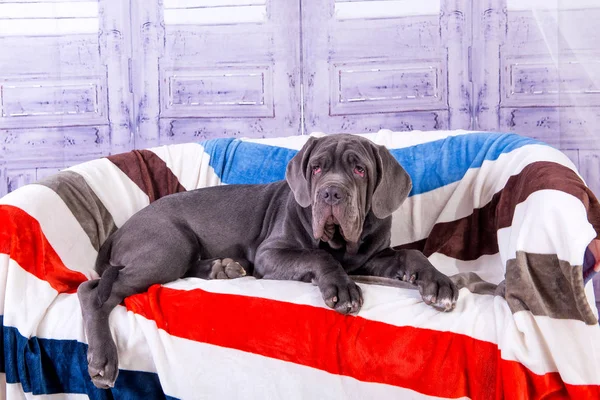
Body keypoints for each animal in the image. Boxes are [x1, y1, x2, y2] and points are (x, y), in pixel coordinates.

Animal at [77, 134, 458, 388]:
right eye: (316, 168)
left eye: (360, 170)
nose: (331, 192)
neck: (342, 245)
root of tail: (120, 229)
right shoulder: (270, 254)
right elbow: (318, 254)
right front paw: (342, 288)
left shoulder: (373, 259)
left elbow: (413, 253)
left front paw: (438, 283)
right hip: (168, 247)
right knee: (92, 292)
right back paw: (103, 360)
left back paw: (223, 268)